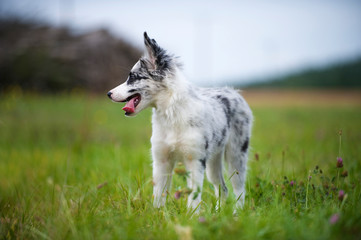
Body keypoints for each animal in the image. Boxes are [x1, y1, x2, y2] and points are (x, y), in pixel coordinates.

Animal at [108, 32, 252, 211]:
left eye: (133, 77)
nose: (108, 93)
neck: (171, 115)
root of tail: (234, 92)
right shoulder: (162, 160)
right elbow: (159, 194)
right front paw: (158, 214)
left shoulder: (195, 161)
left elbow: (193, 196)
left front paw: (193, 216)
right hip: (213, 161)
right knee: (222, 188)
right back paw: (219, 213)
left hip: (236, 155)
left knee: (239, 190)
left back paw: (237, 213)